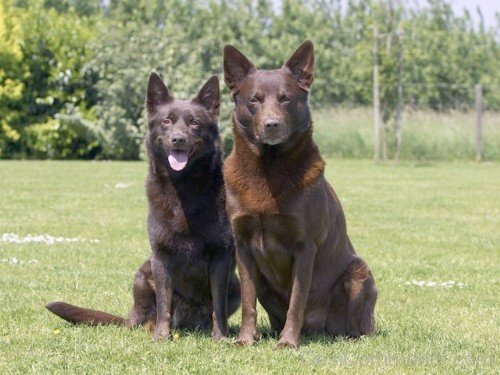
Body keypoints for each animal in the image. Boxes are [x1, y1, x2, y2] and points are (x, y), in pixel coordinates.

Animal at [47, 73, 240, 340]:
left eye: (194, 123)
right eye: (167, 121)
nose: (178, 139)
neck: (184, 188)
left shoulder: (221, 257)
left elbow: (218, 305)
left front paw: (220, 337)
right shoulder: (161, 257)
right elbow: (163, 304)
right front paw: (161, 337)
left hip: (237, 287)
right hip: (142, 275)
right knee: (148, 316)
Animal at [221, 41, 376, 350]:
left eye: (286, 99)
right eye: (254, 100)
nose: (271, 124)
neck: (268, 170)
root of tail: (318, 329)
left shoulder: (305, 247)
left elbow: (297, 300)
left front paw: (288, 342)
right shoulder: (242, 246)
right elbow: (247, 301)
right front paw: (245, 339)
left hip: (359, 272)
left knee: (359, 325)